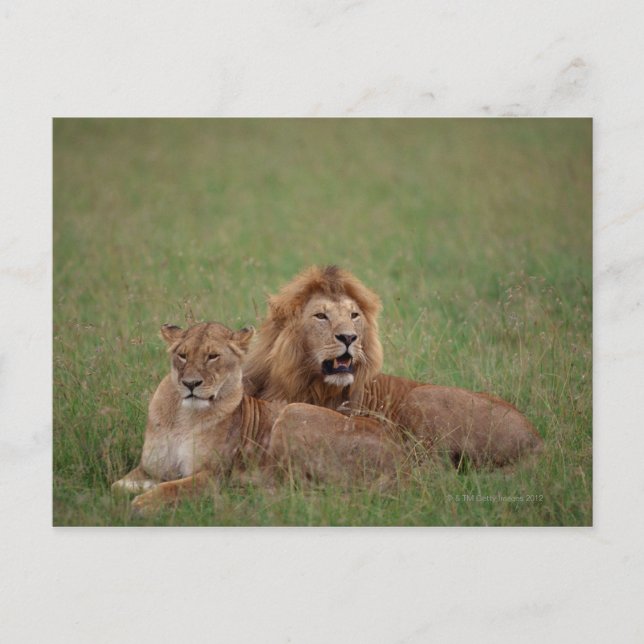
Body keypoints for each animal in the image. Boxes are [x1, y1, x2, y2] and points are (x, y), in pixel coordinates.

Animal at [112, 321, 401, 514]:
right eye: (182, 355)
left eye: (213, 356)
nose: (190, 384)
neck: (183, 416)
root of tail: (401, 460)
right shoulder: (149, 467)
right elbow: (118, 486)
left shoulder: (213, 475)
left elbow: (172, 487)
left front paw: (142, 503)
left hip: (292, 413)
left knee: (298, 489)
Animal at [243, 265, 542, 467]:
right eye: (320, 316)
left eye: (354, 315)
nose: (349, 337)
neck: (306, 382)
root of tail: (537, 439)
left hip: (422, 396)